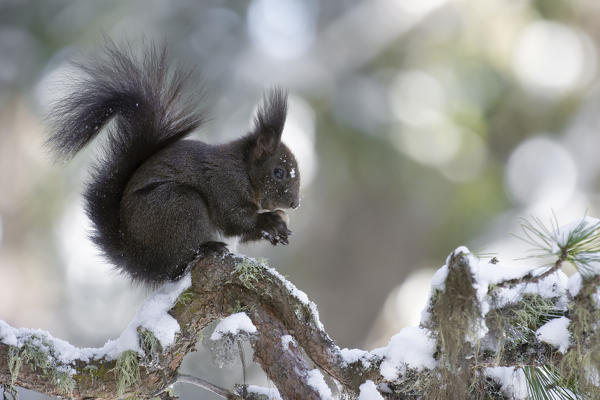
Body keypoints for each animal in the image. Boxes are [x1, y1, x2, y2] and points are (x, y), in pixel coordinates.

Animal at [46, 43, 300, 284]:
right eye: (278, 172)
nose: (295, 204)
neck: (244, 170)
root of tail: (138, 260)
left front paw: (278, 228)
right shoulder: (225, 184)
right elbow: (233, 220)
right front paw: (270, 220)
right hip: (180, 205)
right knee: (176, 265)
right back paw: (206, 248)